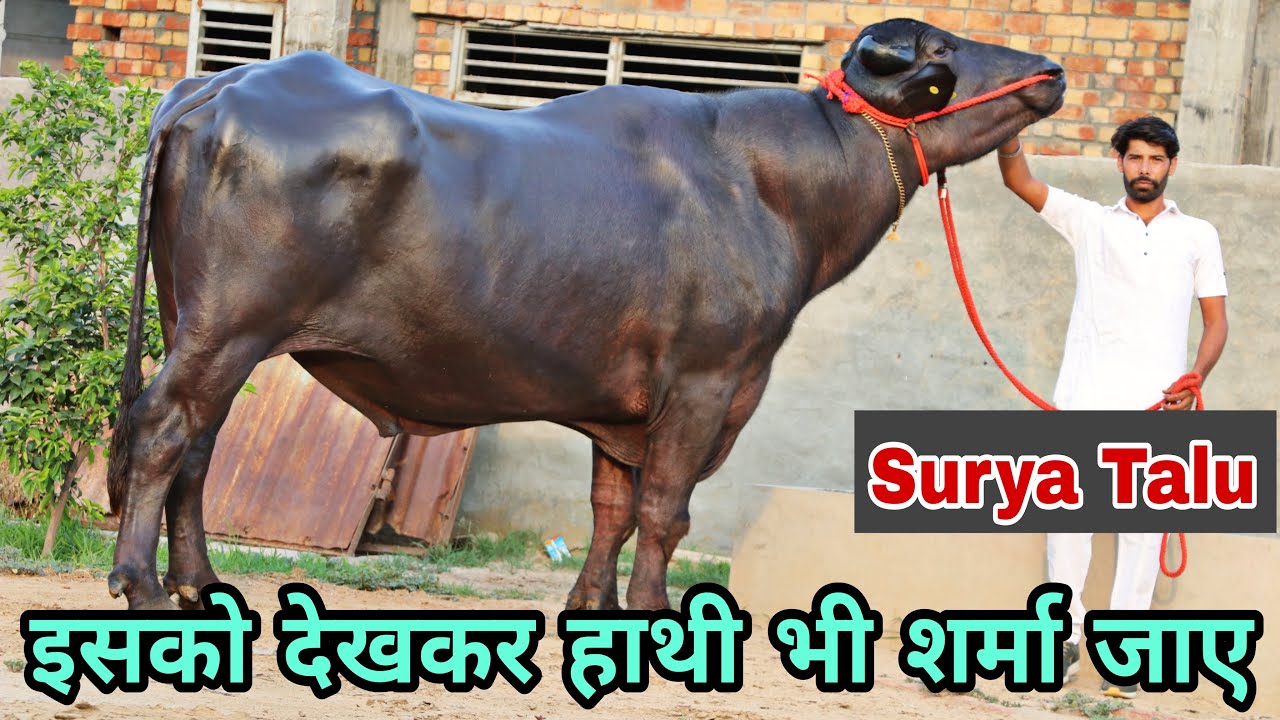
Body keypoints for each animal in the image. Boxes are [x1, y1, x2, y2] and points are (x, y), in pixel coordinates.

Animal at [103, 18, 1064, 611]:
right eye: (937, 53)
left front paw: (594, 605)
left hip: (204, 327)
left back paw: (199, 583)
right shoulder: (709, 383)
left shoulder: (620, 410)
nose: (1049, 73)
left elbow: (610, 507)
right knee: (161, 431)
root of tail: (220, 86)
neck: (771, 188)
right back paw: (140, 584)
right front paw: (653, 608)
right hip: (227, 329)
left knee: (198, 446)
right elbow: (666, 511)